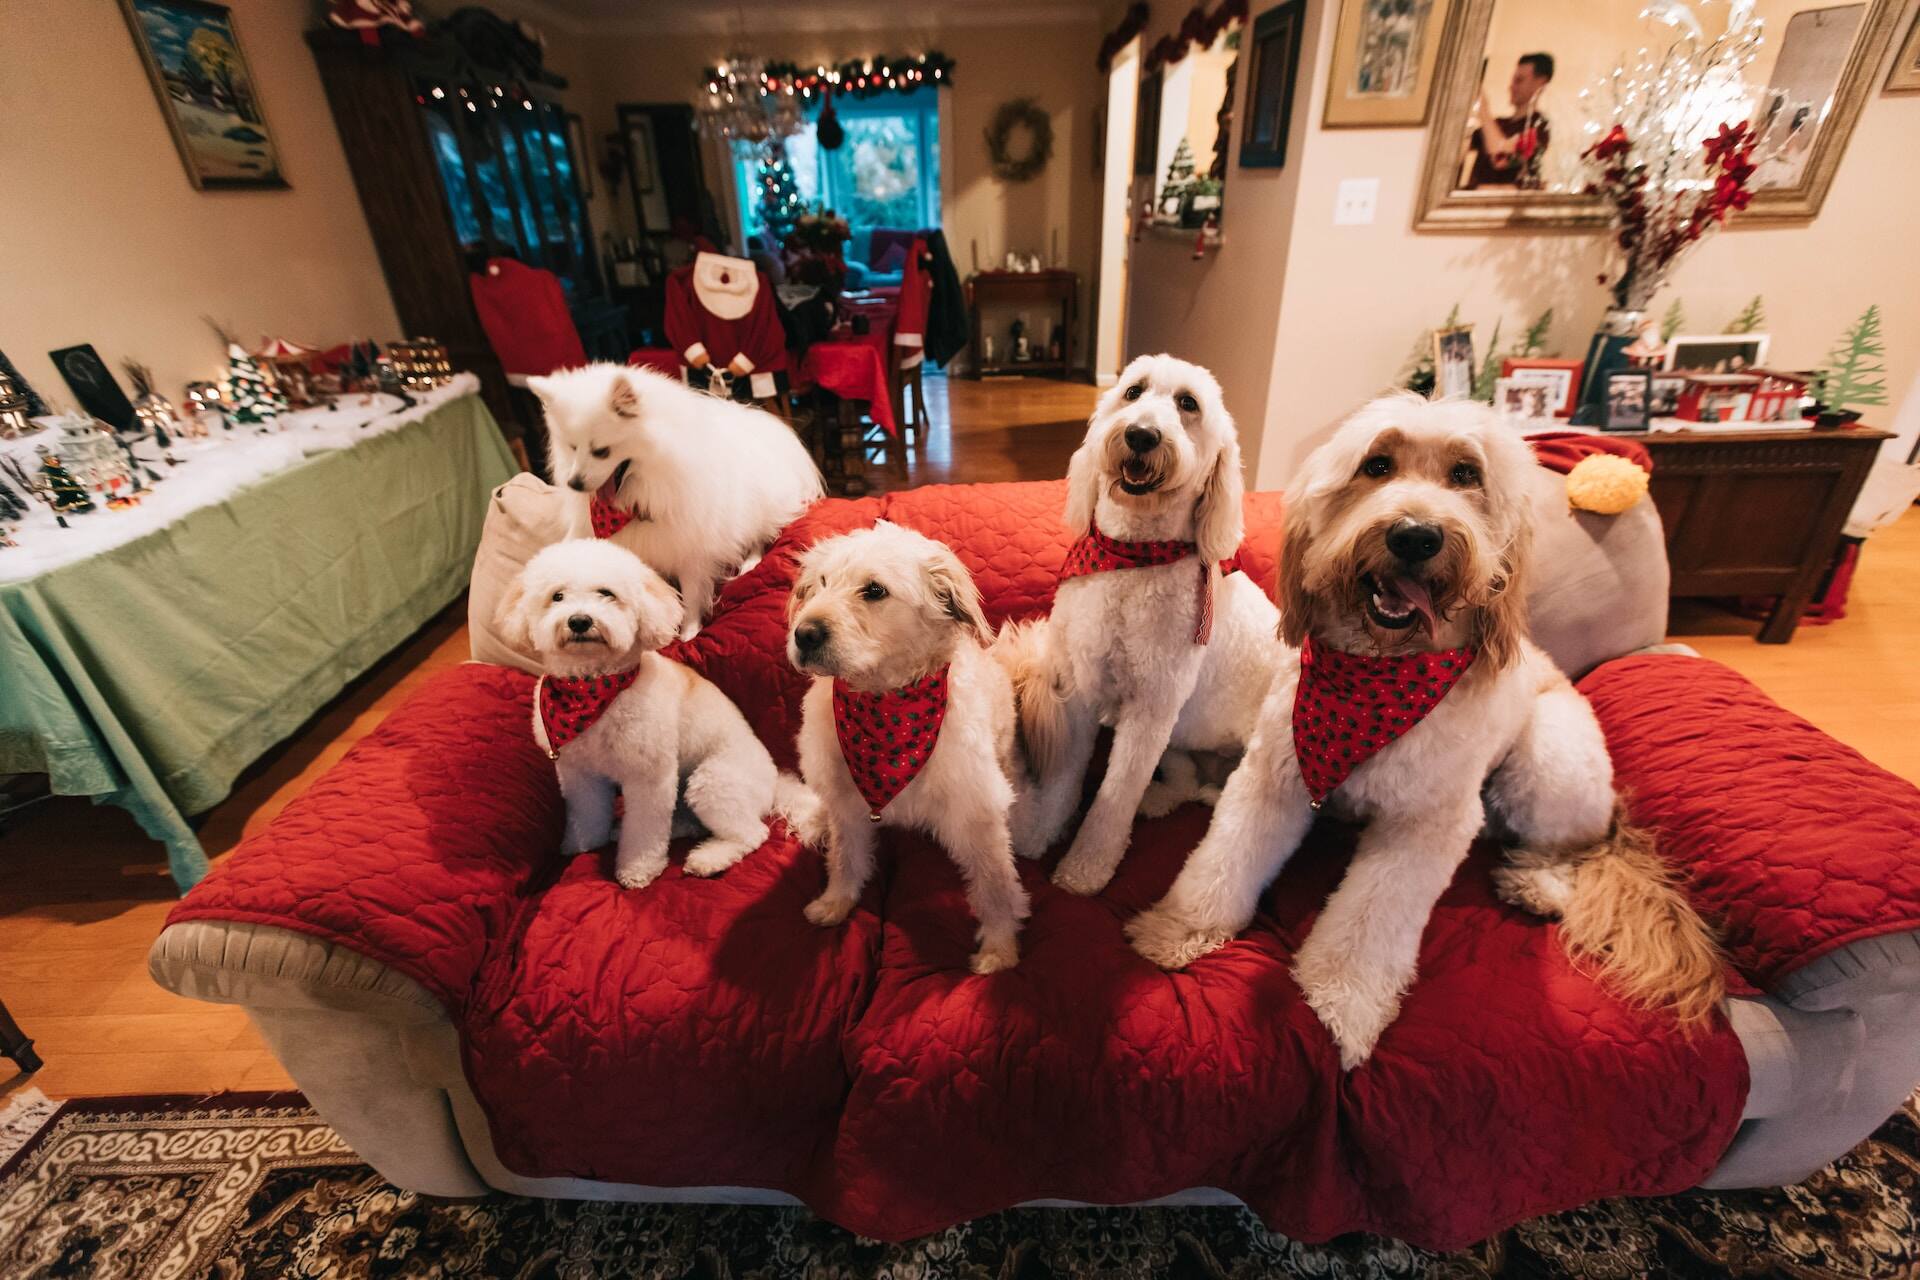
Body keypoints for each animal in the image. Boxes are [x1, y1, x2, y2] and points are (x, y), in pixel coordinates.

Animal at [499, 537, 806, 886]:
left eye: (606, 593)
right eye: (557, 596)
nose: (579, 621)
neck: (593, 693)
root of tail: (775, 782)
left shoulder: (650, 777)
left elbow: (644, 830)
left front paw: (638, 869)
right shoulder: (579, 773)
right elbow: (587, 811)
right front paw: (583, 842)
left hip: (713, 782)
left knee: (752, 834)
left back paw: (709, 859)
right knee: (690, 822)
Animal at [529, 360, 821, 640]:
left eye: (601, 451)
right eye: (572, 447)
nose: (574, 483)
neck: (634, 501)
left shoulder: (690, 549)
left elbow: (691, 595)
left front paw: (688, 632)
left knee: (760, 537)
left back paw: (750, 562)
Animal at [783, 521, 1036, 971]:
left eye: (874, 590)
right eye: (822, 582)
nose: (804, 634)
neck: (885, 707)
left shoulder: (977, 815)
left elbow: (995, 886)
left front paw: (999, 947)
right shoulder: (845, 805)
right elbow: (845, 858)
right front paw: (836, 902)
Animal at [998, 351, 1282, 890]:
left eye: (1188, 404)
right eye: (1133, 391)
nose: (1142, 435)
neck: (1131, 560)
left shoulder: (1151, 709)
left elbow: (1114, 796)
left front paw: (1086, 867)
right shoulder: (1078, 687)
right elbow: (1064, 776)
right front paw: (1043, 830)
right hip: (1180, 747)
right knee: (1185, 784)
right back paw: (1157, 800)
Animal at [1121, 393, 1728, 1074]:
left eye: (1466, 474)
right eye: (1377, 464)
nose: (1415, 534)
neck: (1376, 680)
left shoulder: (1425, 825)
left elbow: (1372, 920)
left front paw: (1342, 1003)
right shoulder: (1274, 778)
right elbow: (1223, 861)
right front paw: (1179, 930)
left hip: (1549, 763)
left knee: (1575, 848)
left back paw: (1537, 884)